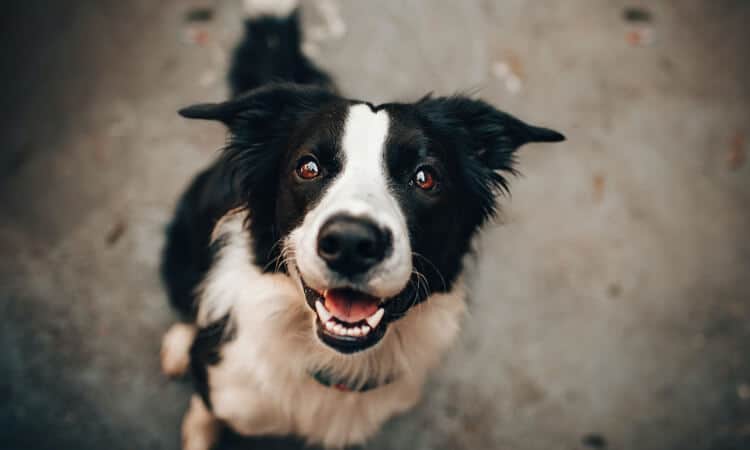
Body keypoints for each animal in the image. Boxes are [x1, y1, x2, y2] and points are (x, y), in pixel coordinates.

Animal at [162, 1, 568, 448]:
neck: (333, 363)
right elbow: (203, 415)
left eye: (425, 177)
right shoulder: (221, 386)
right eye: (308, 167)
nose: (351, 244)